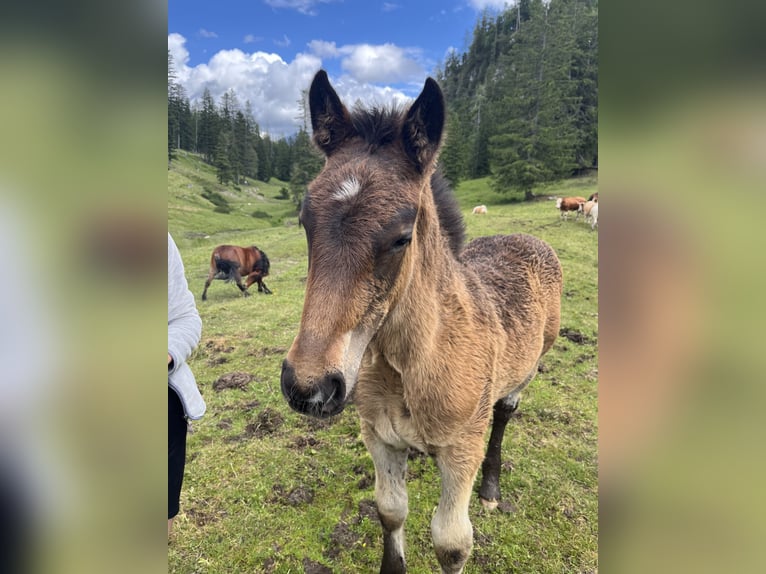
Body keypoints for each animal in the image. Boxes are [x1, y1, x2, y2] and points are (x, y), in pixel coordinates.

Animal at [280, 72, 560, 574]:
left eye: (401, 237)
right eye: (305, 222)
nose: (309, 387)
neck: (407, 367)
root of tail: (526, 238)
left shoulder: (462, 449)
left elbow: (451, 543)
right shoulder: (378, 438)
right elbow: (391, 511)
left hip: (523, 374)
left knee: (505, 415)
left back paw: (491, 489)